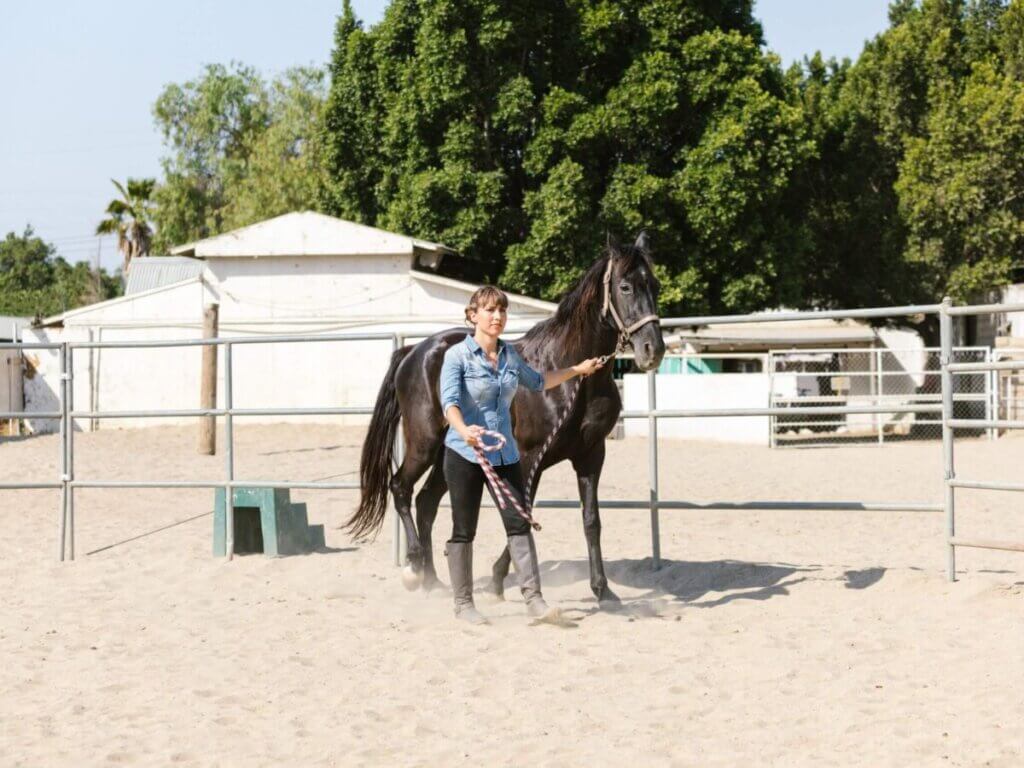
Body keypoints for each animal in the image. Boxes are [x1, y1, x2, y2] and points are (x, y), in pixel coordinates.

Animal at [345, 232, 665, 604]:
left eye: (654, 284)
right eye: (625, 286)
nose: (653, 350)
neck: (569, 377)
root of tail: (414, 351)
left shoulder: (590, 455)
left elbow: (590, 520)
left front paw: (603, 590)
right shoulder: (528, 457)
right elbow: (520, 514)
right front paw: (500, 578)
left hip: (450, 454)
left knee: (426, 502)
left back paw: (434, 581)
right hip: (424, 443)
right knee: (400, 487)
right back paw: (414, 569)